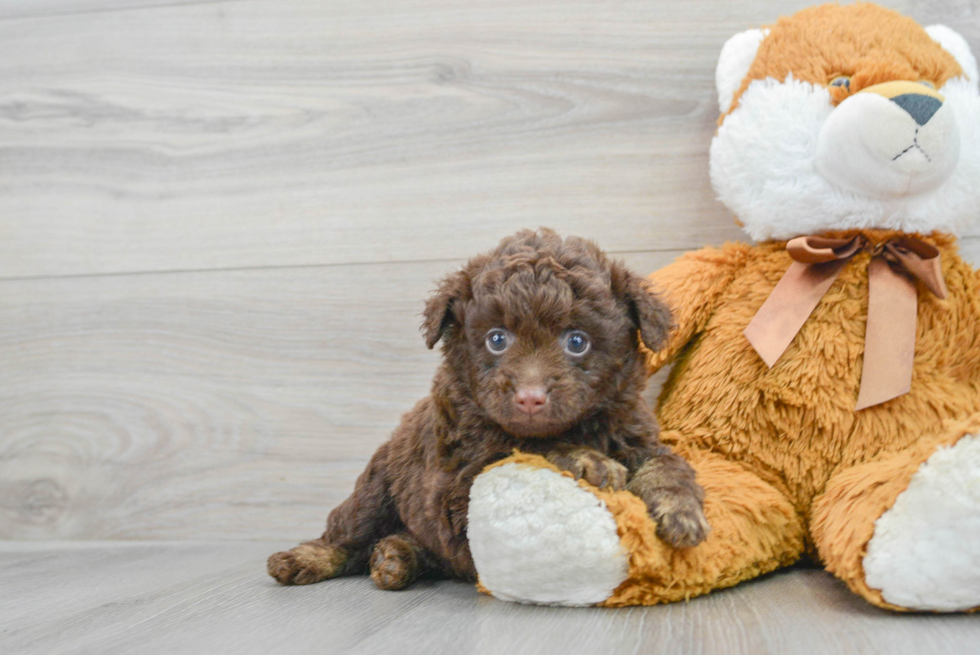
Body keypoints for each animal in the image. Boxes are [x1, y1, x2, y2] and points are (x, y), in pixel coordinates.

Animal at [268, 228, 708, 592]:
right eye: (497, 339)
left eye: (577, 341)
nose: (530, 397)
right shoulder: (456, 484)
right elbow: (522, 448)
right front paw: (588, 461)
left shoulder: (635, 435)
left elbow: (667, 464)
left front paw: (682, 513)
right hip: (375, 489)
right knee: (347, 534)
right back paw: (304, 558)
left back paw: (395, 557)